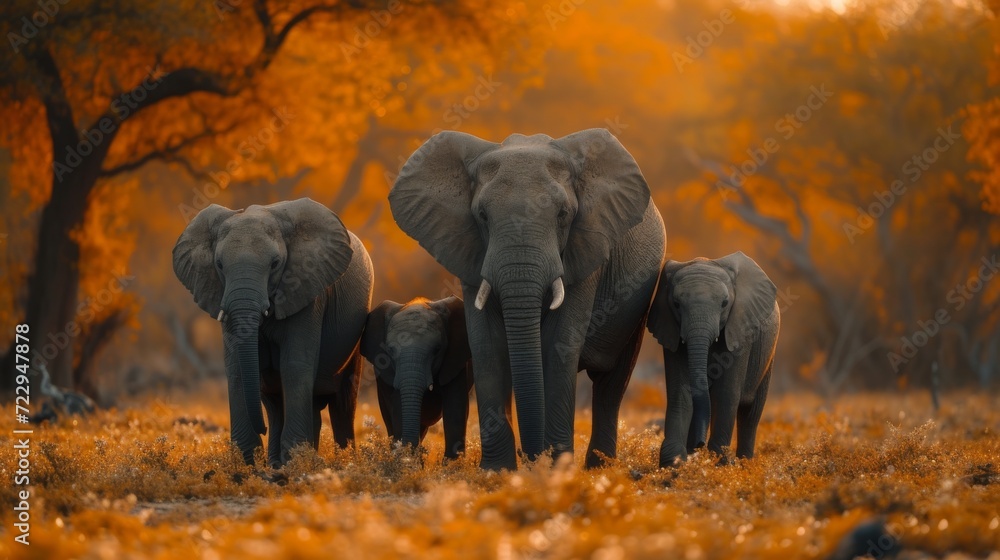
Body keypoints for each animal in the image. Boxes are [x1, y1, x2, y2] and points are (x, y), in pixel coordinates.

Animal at [173, 198, 373, 468]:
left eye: (275, 264)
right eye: (219, 265)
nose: (262, 430)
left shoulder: (308, 290)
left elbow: (294, 365)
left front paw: (294, 464)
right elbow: (236, 366)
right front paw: (249, 463)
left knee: (342, 403)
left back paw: (343, 460)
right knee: (276, 403)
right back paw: (280, 462)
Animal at [360, 296, 472, 460]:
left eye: (437, 349)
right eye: (390, 350)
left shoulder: (456, 361)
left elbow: (455, 408)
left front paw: (453, 464)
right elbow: (398, 408)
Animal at [389, 128, 666, 470]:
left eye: (563, 215)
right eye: (482, 216)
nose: (532, 457)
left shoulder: (585, 251)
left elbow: (558, 344)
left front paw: (555, 467)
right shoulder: (470, 253)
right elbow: (487, 345)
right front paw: (498, 471)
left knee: (610, 384)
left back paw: (599, 466)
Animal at [646, 252, 779, 468]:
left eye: (725, 303)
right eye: (676, 304)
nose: (699, 444)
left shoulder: (739, 331)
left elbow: (726, 393)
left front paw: (720, 464)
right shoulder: (671, 330)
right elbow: (680, 391)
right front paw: (673, 462)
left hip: (768, 356)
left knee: (751, 412)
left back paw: (745, 464)